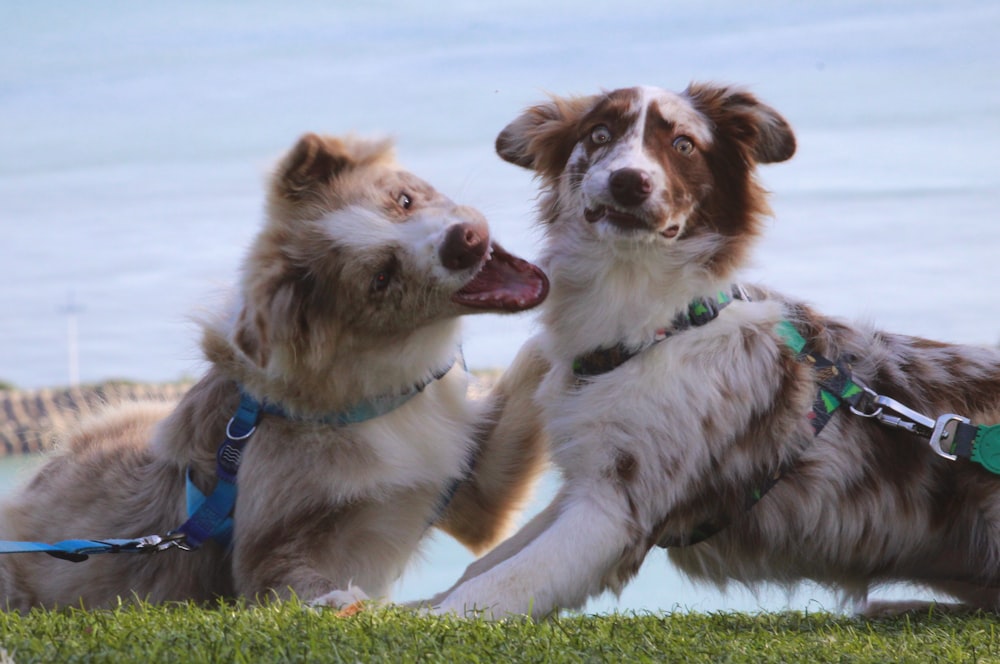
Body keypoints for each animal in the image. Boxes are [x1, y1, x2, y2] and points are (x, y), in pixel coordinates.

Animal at [0, 132, 548, 608]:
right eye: (380, 278)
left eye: (405, 199)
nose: (466, 240)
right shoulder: (264, 557)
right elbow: (294, 584)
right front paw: (339, 602)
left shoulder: (471, 490)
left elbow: (530, 370)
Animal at [422, 85, 1000, 620]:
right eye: (599, 135)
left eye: (684, 144)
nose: (629, 181)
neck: (654, 325)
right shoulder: (587, 477)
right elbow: (484, 566)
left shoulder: (618, 508)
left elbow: (493, 589)